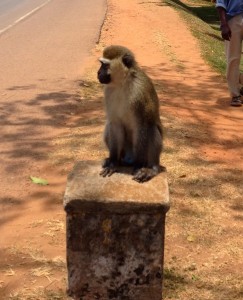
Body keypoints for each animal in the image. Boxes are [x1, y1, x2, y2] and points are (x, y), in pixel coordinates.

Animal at [98, 45, 164, 183]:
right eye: (101, 64)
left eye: (105, 65)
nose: (98, 73)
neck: (123, 82)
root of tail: (129, 158)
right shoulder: (108, 92)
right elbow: (115, 124)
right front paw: (113, 163)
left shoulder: (139, 94)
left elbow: (142, 126)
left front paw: (139, 166)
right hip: (125, 151)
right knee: (109, 126)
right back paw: (116, 160)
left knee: (151, 128)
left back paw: (152, 168)